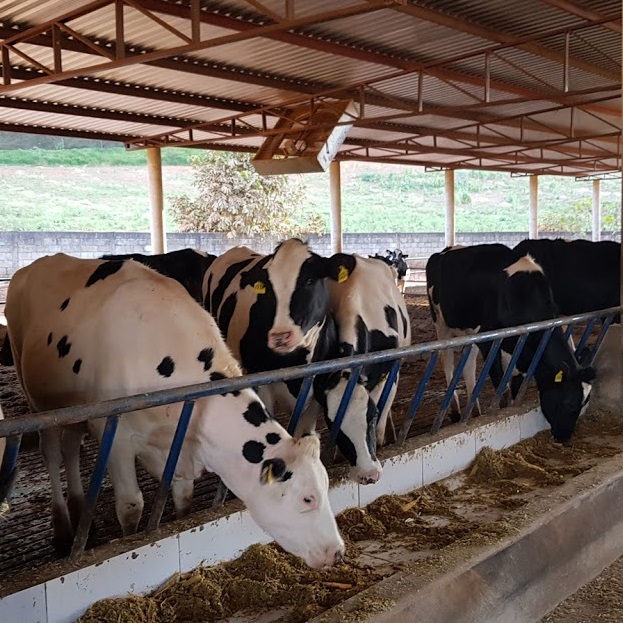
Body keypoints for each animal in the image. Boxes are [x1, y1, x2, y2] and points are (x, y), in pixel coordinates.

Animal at [3, 251, 346, 568]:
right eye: (308, 498)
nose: (337, 551)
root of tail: (35, 265)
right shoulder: (116, 438)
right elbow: (131, 506)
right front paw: (128, 542)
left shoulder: (180, 447)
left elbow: (184, 498)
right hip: (36, 394)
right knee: (52, 450)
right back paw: (63, 528)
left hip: (76, 408)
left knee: (71, 445)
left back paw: (78, 509)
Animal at [426, 244, 596, 444]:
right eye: (569, 403)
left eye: (585, 401)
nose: (563, 437)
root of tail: (446, 250)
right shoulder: (490, 341)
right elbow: (502, 387)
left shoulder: (517, 347)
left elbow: (515, 383)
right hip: (441, 324)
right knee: (447, 362)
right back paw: (454, 411)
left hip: (470, 333)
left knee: (468, 365)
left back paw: (474, 411)